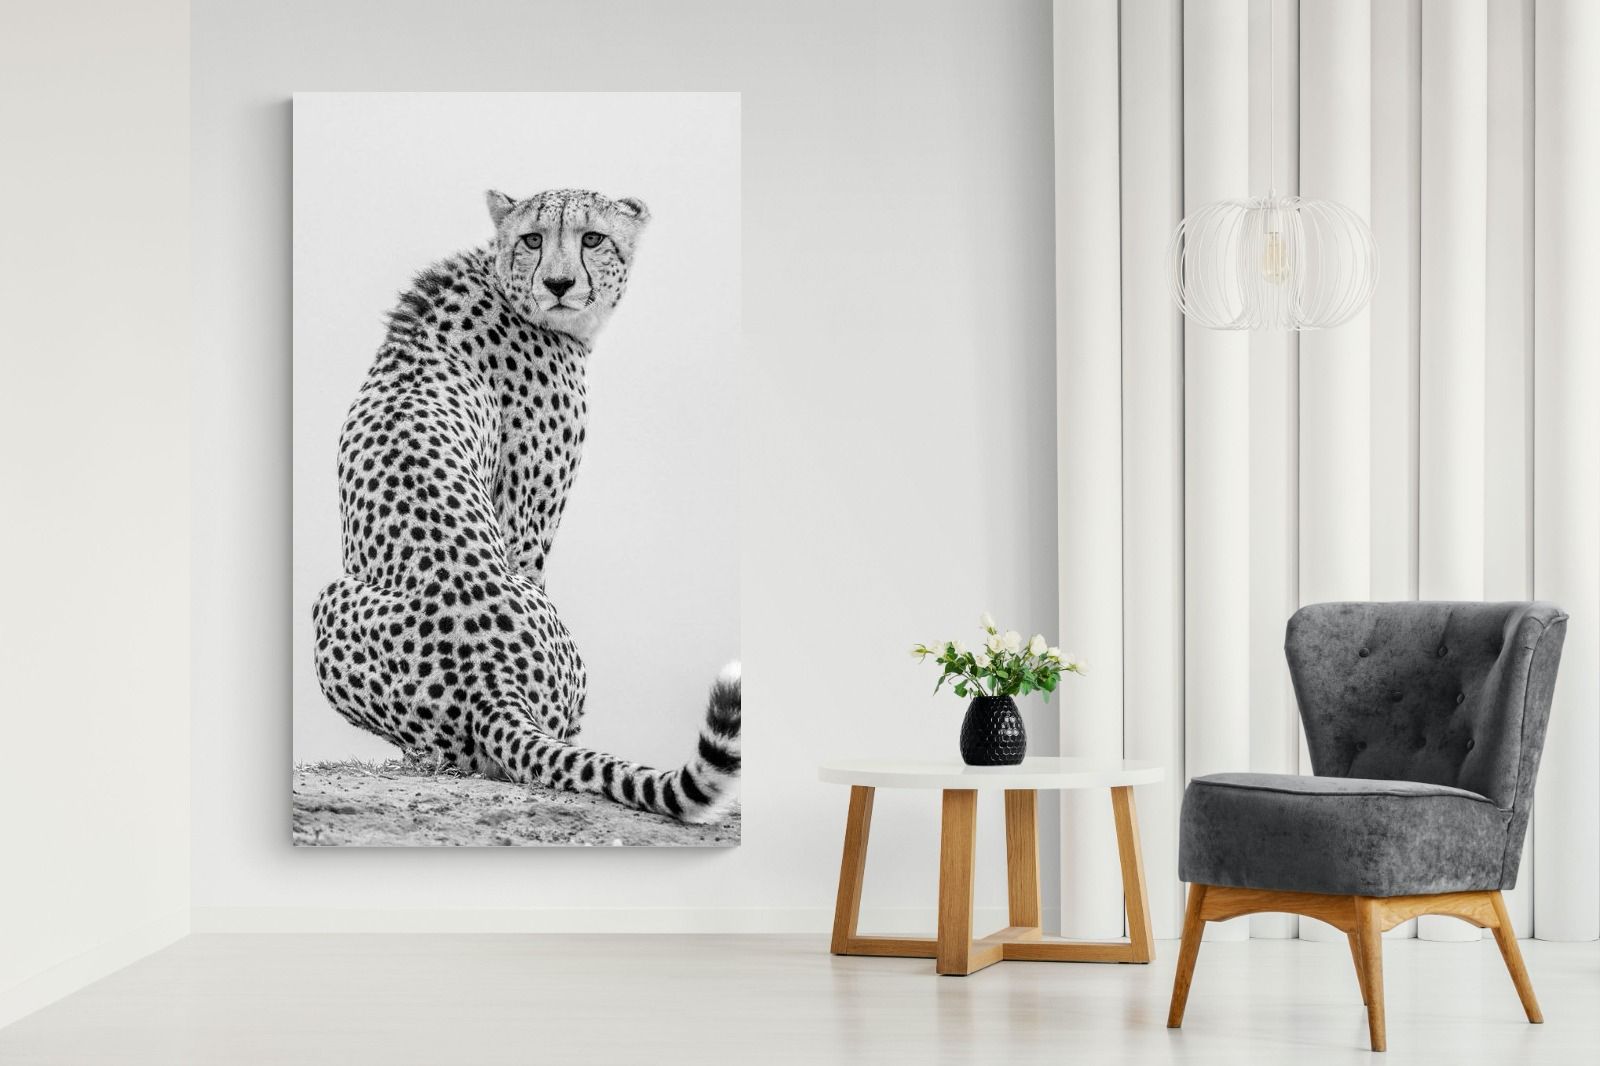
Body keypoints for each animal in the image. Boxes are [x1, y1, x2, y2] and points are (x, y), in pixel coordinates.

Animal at [311, 188, 741, 825]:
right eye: (533, 238)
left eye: (592, 238)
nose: (559, 284)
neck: (501, 281)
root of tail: (492, 683)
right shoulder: (527, 527)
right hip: (332, 601)